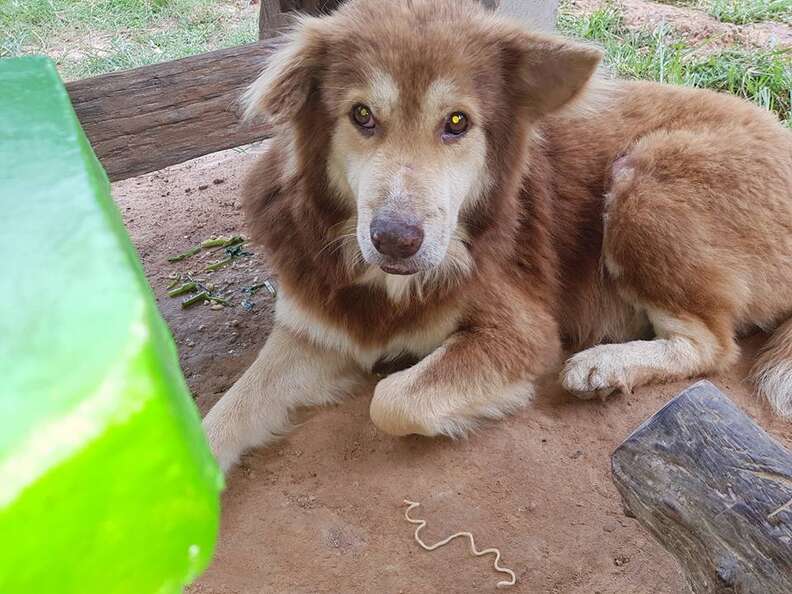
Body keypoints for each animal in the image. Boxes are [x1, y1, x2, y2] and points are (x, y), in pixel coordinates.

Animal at [203, 0, 792, 472]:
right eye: (362, 115)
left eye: (457, 122)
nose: (395, 240)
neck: (386, 285)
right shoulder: (313, 324)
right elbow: (223, 413)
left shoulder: (521, 330)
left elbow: (392, 400)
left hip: (644, 181)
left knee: (712, 346)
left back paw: (604, 365)